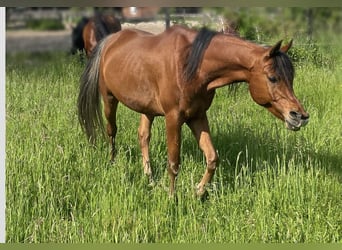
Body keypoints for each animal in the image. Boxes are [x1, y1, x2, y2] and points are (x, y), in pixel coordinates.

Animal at [77, 24, 310, 197]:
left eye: (291, 77)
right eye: (272, 77)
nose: (300, 116)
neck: (192, 65)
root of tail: (110, 41)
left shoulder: (197, 116)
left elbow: (212, 157)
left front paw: (199, 191)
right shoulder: (173, 118)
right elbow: (174, 163)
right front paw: (172, 198)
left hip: (148, 109)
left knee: (143, 136)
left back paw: (149, 178)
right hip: (109, 100)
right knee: (111, 131)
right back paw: (112, 163)